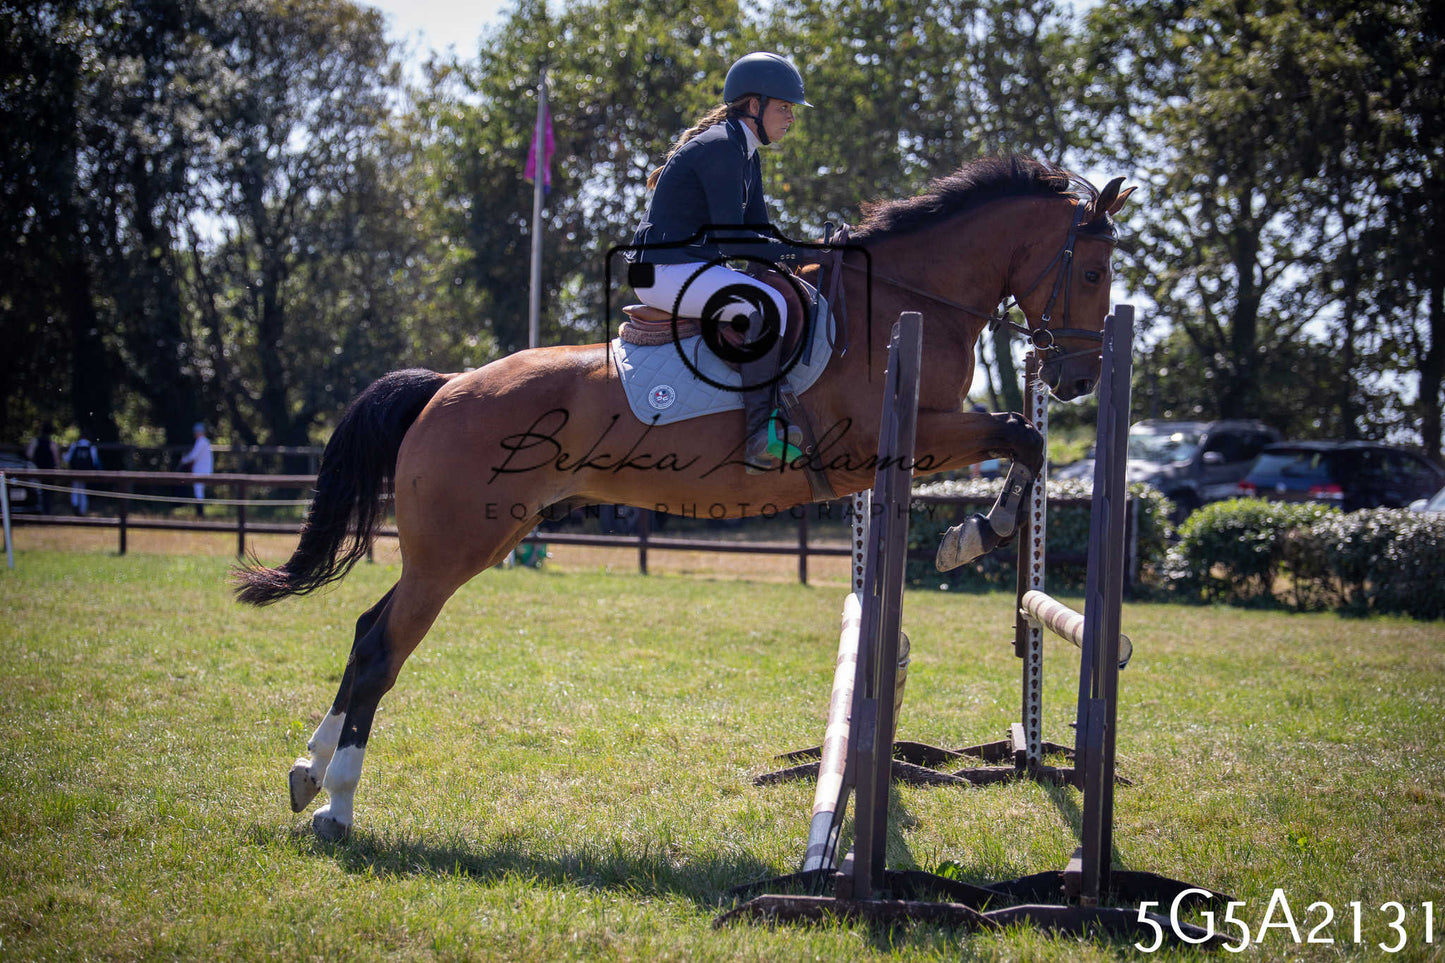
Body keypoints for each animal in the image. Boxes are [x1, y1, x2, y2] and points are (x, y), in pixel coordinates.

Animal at [235, 155, 1135, 840]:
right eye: (1092, 270)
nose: (1077, 378)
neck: (908, 299)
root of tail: (447, 384)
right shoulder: (901, 437)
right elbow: (1020, 435)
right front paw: (973, 535)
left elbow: (1021, 439)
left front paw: (969, 534)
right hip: (454, 549)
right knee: (383, 649)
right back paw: (338, 806)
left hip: (466, 544)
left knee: (366, 631)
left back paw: (306, 772)